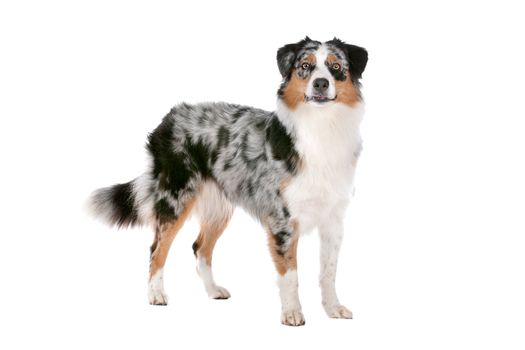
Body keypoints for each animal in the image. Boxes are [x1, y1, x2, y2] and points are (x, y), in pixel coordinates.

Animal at [89, 37, 368, 326]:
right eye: (305, 66)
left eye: (336, 67)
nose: (321, 83)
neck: (321, 128)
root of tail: (168, 119)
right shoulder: (282, 219)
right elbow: (290, 274)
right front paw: (292, 313)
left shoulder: (333, 220)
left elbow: (329, 272)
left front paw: (333, 308)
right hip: (176, 197)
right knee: (157, 248)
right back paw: (156, 294)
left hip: (219, 206)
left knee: (200, 248)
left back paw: (213, 290)